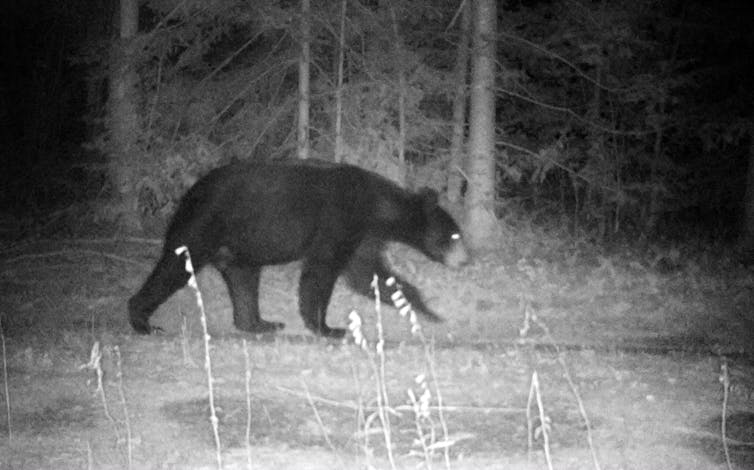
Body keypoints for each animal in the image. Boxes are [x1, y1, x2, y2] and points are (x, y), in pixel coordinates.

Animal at [129, 160, 470, 340]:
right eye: (455, 234)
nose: (466, 260)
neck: (376, 207)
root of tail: (189, 193)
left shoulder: (362, 236)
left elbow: (370, 274)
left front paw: (428, 311)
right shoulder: (339, 221)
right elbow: (322, 271)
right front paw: (328, 327)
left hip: (239, 247)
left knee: (244, 280)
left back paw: (260, 324)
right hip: (203, 225)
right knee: (174, 266)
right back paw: (143, 321)